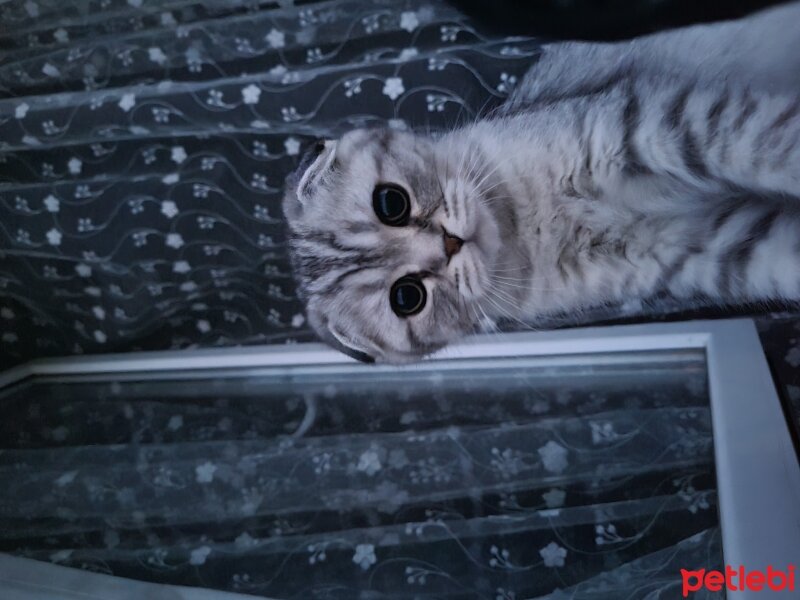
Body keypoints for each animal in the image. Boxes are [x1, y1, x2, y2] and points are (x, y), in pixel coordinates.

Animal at [282, 2, 800, 364]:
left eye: (391, 203)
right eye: (407, 297)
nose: (449, 244)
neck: (530, 225)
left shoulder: (651, 125)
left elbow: (773, 146)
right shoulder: (709, 245)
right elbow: (783, 257)